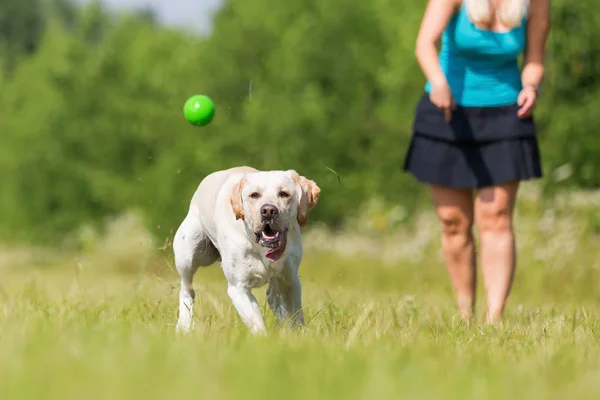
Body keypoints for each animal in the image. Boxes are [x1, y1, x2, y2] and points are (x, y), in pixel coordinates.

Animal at [172, 166, 322, 334]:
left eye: (284, 193)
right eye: (254, 195)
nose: (268, 210)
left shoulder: (290, 280)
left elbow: (296, 317)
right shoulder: (238, 288)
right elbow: (257, 324)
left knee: (272, 296)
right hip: (188, 254)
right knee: (187, 289)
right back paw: (184, 325)